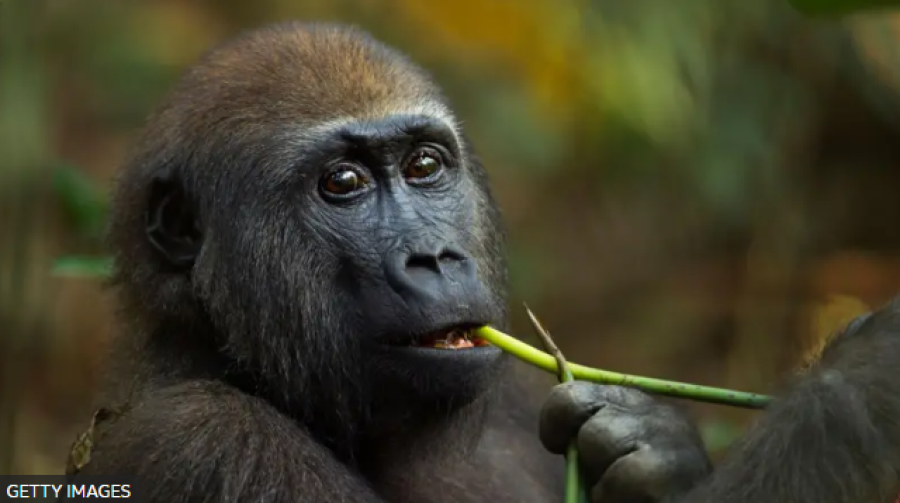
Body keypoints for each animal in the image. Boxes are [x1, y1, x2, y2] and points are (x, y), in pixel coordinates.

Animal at [68, 20, 900, 503]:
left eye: (425, 166)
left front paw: (652, 444)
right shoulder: (206, 438)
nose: (435, 256)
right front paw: (857, 385)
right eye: (343, 184)